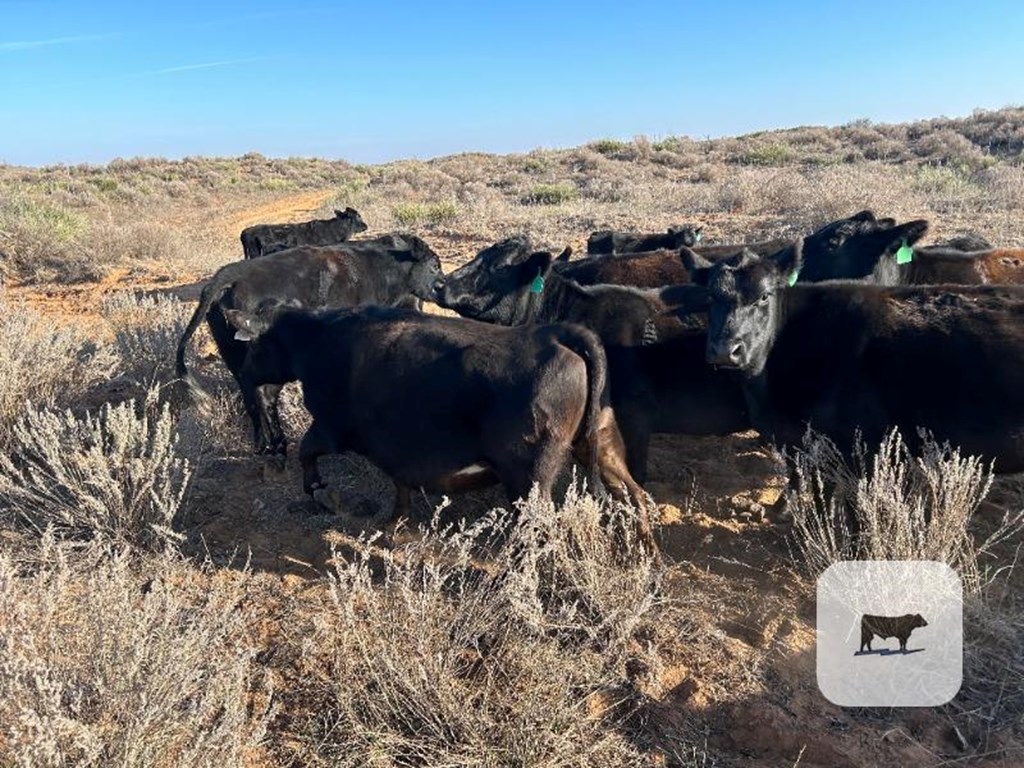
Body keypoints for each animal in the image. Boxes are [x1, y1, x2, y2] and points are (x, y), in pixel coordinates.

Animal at [176, 237, 440, 454]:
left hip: (235, 357)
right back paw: (279, 445)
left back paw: (264, 445)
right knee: (265, 396)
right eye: (435, 265)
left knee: (250, 396)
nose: (441, 285)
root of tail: (231, 273)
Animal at [223, 303, 655, 548]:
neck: (316, 339)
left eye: (254, 345)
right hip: (601, 442)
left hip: (528, 475)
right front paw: (396, 521)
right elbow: (400, 485)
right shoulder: (396, 451)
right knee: (633, 495)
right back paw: (643, 552)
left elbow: (306, 451)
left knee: (539, 525)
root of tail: (557, 332)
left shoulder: (330, 426)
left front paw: (318, 490)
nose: (244, 373)